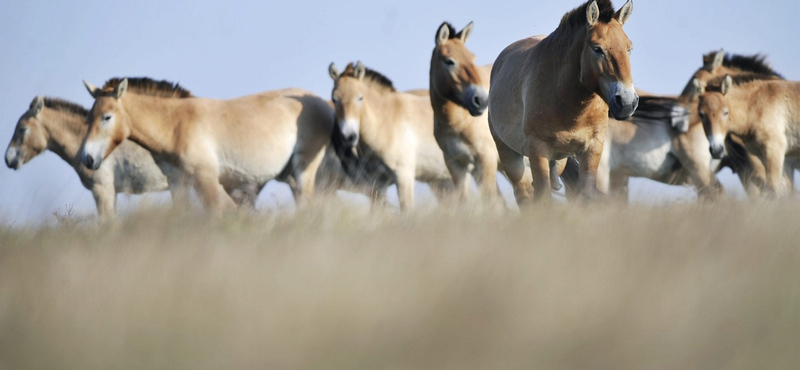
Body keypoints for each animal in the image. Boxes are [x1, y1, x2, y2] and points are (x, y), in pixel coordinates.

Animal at [80, 77, 332, 211]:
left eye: (107, 117)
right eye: (89, 117)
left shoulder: (206, 179)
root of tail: (323, 103)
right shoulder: (178, 183)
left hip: (304, 173)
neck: (176, 126)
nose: (87, 159)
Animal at [326, 62, 454, 210]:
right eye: (334, 99)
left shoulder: (404, 176)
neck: (386, 121)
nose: (348, 137)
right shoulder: (378, 183)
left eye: (360, 97)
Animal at [488, 0, 636, 204]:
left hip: (558, 162)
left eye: (629, 48)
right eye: (597, 48)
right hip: (511, 157)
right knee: (524, 194)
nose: (627, 102)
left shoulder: (593, 147)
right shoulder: (538, 148)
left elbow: (586, 195)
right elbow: (543, 197)